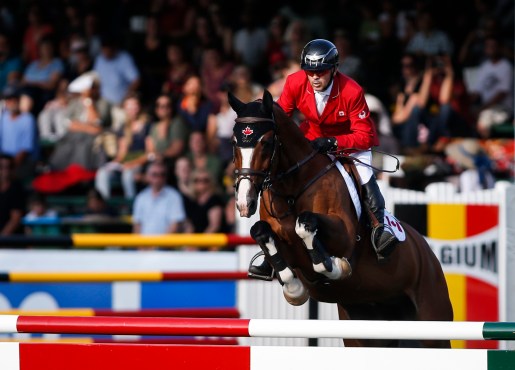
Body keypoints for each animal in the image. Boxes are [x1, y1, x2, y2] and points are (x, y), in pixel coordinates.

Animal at [228, 89, 454, 346]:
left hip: (433, 322)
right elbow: (260, 231)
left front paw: (335, 266)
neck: (291, 189)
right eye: (234, 142)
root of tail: (427, 253)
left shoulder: (343, 235)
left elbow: (306, 225)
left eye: (265, 143)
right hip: (364, 329)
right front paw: (293, 288)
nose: (244, 202)